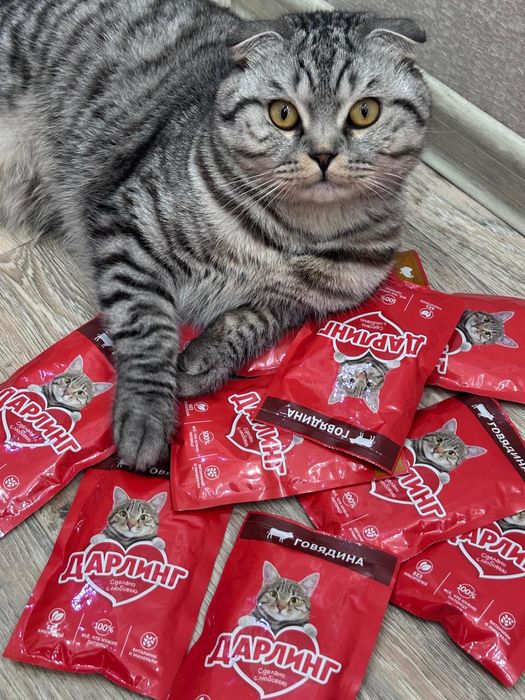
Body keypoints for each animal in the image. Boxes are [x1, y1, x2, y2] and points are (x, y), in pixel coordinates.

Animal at [0, 1, 430, 469]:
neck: (294, 234)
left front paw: (207, 359)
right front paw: (146, 413)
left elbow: (248, 323)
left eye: (364, 112)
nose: (322, 154)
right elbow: (147, 328)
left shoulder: (300, 304)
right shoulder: (131, 226)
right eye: (283, 114)